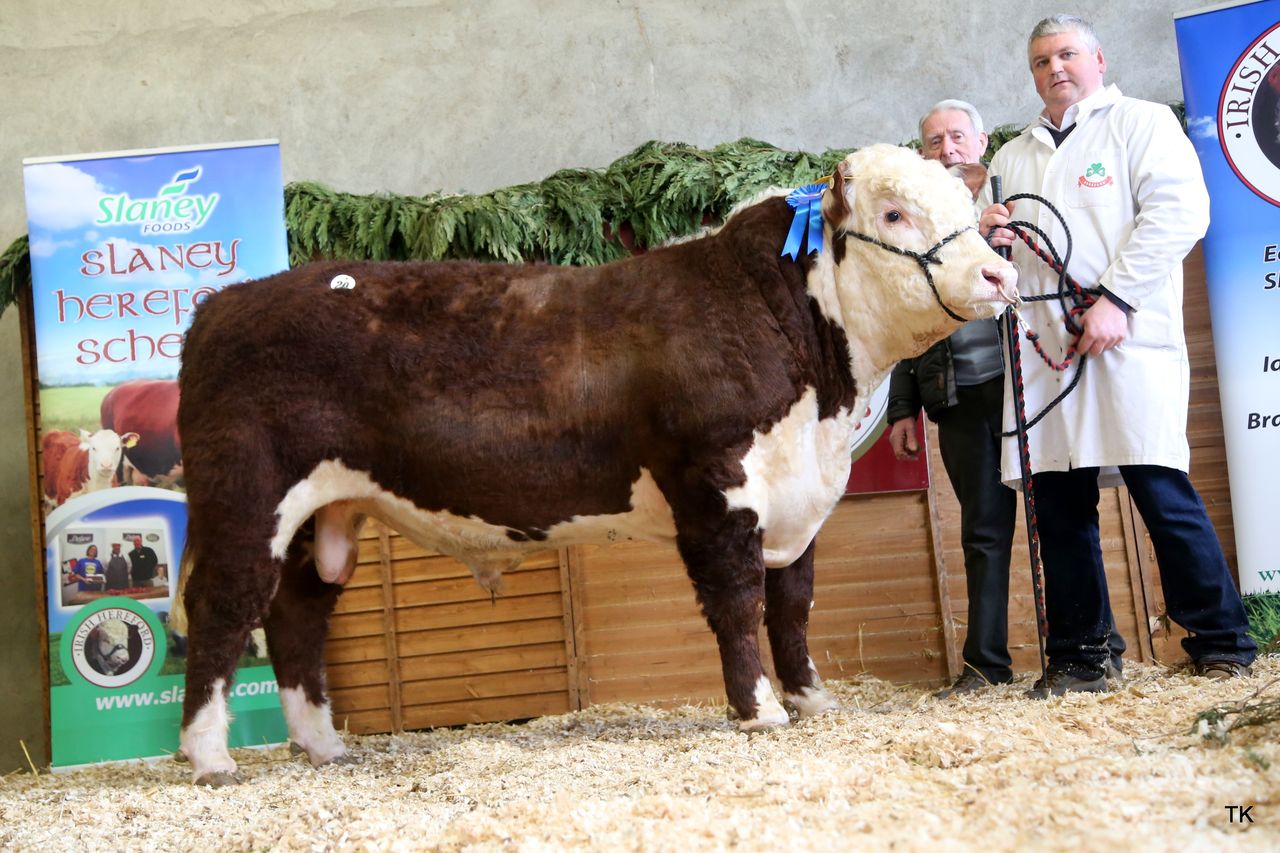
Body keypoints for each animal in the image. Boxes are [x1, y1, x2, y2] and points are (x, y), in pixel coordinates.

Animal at [174, 144, 1018, 785]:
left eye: (967, 207)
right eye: (895, 214)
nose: (999, 276)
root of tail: (221, 306)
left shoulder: (794, 505)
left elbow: (793, 606)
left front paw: (812, 701)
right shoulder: (717, 493)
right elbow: (739, 602)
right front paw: (760, 709)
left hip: (321, 515)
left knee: (296, 615)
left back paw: (322, 744)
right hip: (245, 498)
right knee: (223, 609)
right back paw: (210, 756)